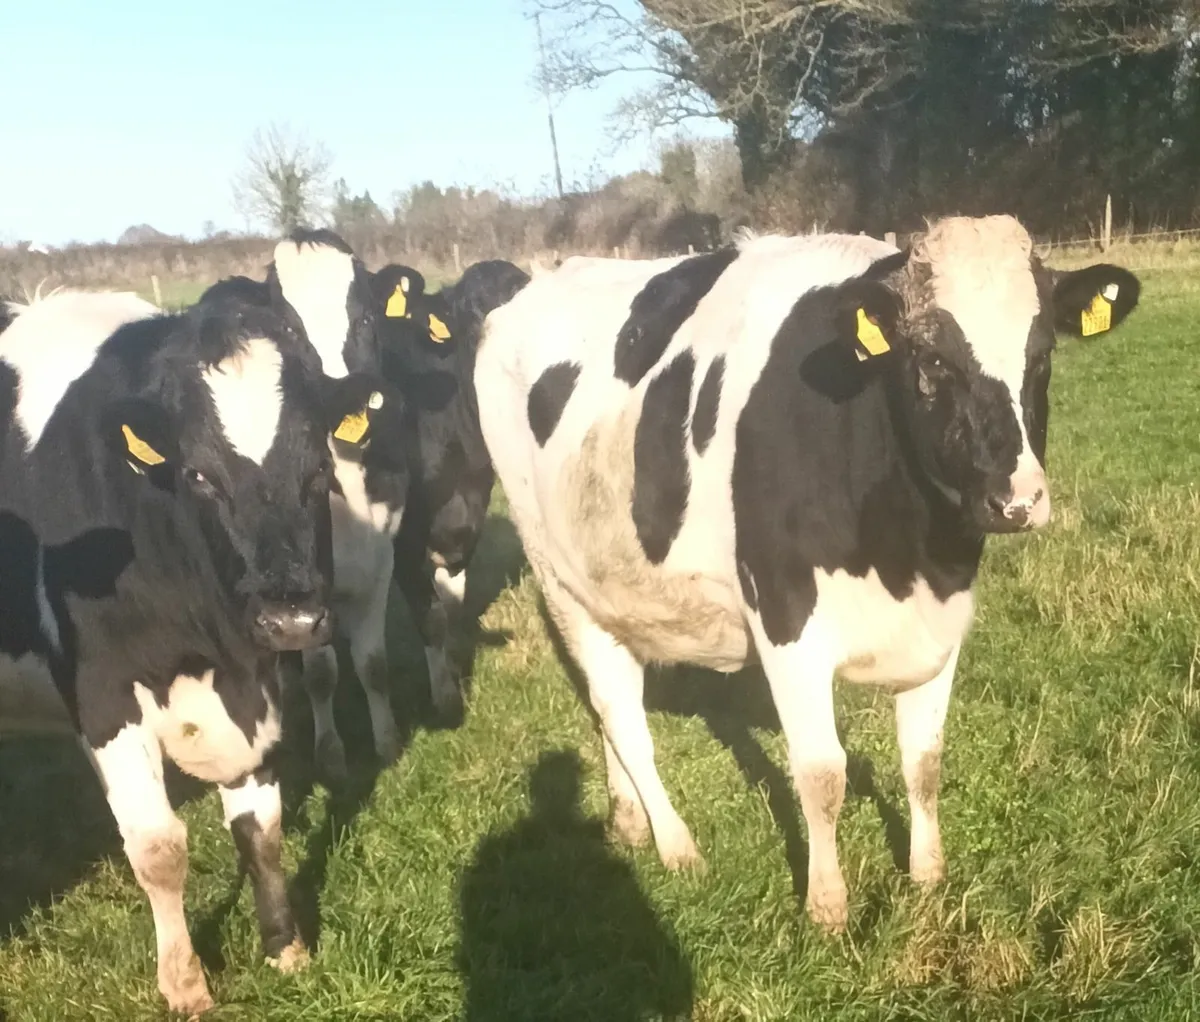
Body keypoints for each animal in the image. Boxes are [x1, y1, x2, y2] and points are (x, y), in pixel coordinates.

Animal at [0, 287, 385, 1013]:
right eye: (200, 475)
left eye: (320, 468)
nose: (292, 617)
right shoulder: (102, 694)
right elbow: (158, 849)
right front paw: (185, 984)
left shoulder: (257, 680)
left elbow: (261, 827)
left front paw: (285, 948)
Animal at [369, 259, 530, 715]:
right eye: (473, 318)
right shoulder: (402, 540)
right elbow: (432, 617)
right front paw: (445, 699)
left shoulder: (467, 521)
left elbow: (453, 607)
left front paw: (457, 667)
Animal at [474, 216, 1142, 932]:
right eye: (932, 359)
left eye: (1042, 354)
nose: (1015, 501)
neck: (909, 555)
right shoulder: (785, 617)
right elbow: (822, 775)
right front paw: (827, 907)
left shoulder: (942, 622)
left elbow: (924, 761)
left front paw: (927, 876)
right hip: (555, 575)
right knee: (621, 713)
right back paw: (678, 846)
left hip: (609, 586)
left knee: (611, 707)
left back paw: (628, 821)